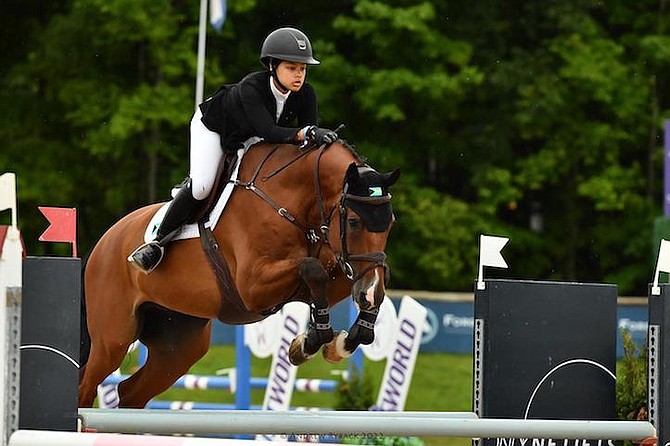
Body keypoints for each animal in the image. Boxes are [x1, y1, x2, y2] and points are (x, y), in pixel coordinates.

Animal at [78, 139, 400, 408]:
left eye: (391, 223)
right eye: (355, 222)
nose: (367, 291)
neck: (290, 201)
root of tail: (104, 241)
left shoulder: (341, 268)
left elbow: (342, 281)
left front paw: (341, 340)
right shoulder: (252, 288)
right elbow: (313, 269)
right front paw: (311, 342)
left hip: (177, 346)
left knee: (131, 392)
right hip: (112, 340)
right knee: (86, 386)